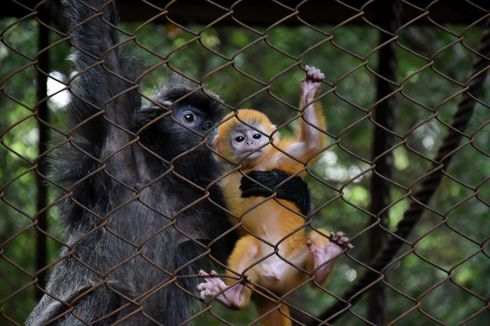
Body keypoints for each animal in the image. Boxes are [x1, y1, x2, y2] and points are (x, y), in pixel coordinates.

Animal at [25, 0, 310, 326]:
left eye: (210, 124)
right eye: (189, 118)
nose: (206, 133)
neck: (166, 176)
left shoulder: (209, 202)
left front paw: (293, 191)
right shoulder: (116, 145)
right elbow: (99, 42)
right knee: (109, 290)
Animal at [197, 66, 350, 326]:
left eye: (257, 136)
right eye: (239, 139)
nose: (250, 141)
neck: (250, 166)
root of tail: (273, 290)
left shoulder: (280, 158)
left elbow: (310, 144)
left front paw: (309, 91)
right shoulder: (220, 180)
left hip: (295, 268)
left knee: (315, 246)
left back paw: (324, 261)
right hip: (260, 274)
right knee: (249, 244)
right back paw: (233, 297)